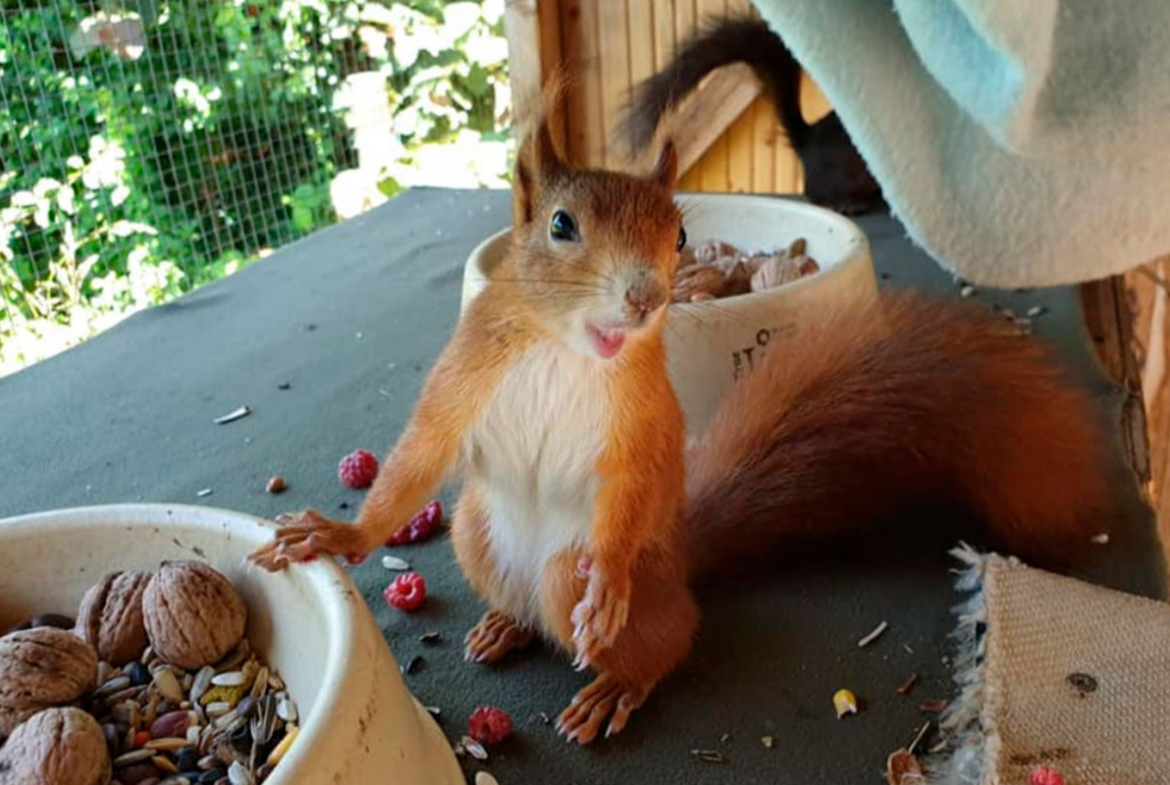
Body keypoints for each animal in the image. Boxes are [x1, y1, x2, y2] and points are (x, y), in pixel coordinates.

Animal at [249, 87, 1112, 746]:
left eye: (682, 233)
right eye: (560, 226)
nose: (646, 297)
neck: (568, 351)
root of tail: (680, 565)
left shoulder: (639, 424)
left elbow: (631, 485)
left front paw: (607, 588)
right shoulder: (461, 383)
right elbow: (415, 461)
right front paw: (339, 535)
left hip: (590, 573)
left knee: (666, 640)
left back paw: (615, 682)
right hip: (474, 533)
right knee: (524, 601)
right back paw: (506, 624)